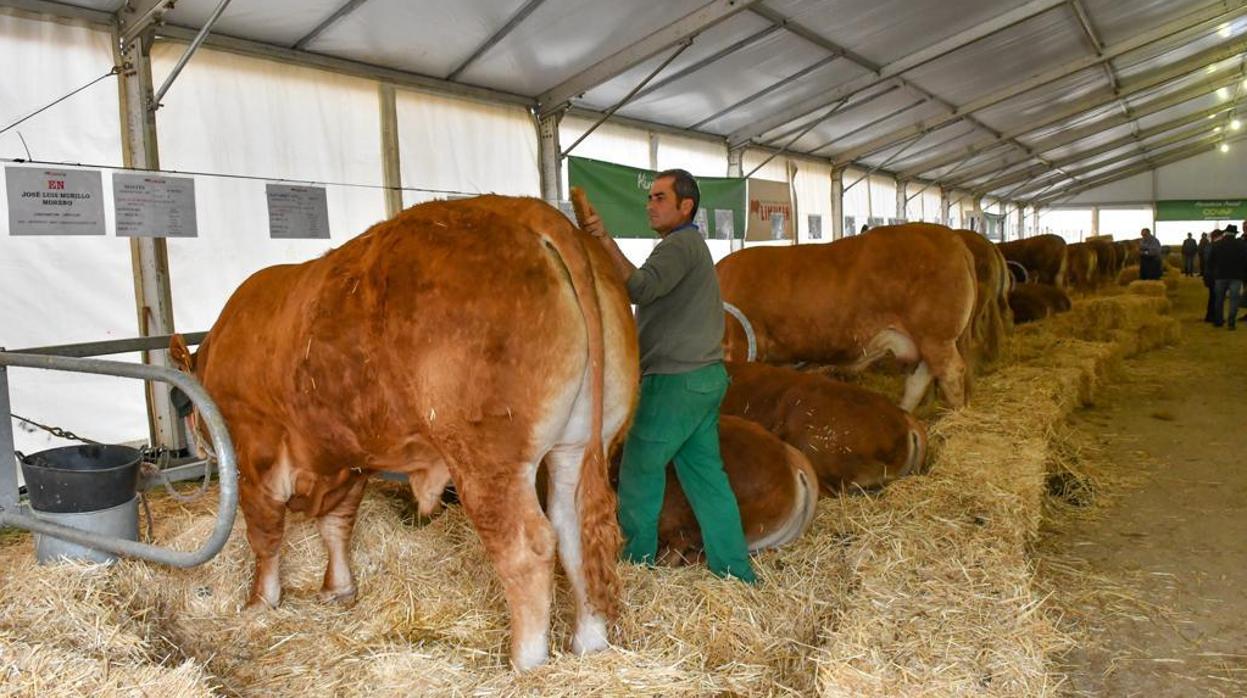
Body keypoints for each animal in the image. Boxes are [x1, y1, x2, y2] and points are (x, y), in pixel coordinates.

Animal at [172, 196, 638, 673]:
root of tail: (526, 210)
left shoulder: (256, 452)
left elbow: (265, 536)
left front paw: (259, 603)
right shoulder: (351, 457)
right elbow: (337, 525)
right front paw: (338, 589)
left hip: (489, 460)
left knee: (528, 548)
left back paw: (526, 664)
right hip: (581, 444)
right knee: (575, 533)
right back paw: (589, 644)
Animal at [718, 220, 977, 411]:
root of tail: (950, 238)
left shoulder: (740, 344)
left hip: (936, 338)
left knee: (952, 373)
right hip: (923, 342)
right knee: (918, 381)